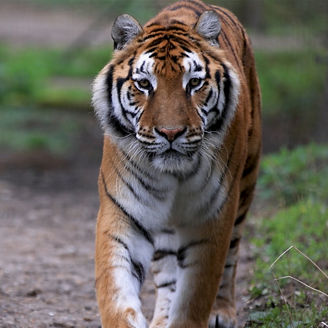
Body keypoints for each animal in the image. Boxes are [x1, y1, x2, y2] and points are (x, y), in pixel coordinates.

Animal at [92, 1, 262, 326]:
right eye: (144, 84)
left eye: (194, 83)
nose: (170, 133)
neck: (174, 174)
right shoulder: (123, 212)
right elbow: (116, 291)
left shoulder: (212, 217)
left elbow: (195, 295)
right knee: (168, 275)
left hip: (245, 183)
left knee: (232, 256)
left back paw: (222, 312)